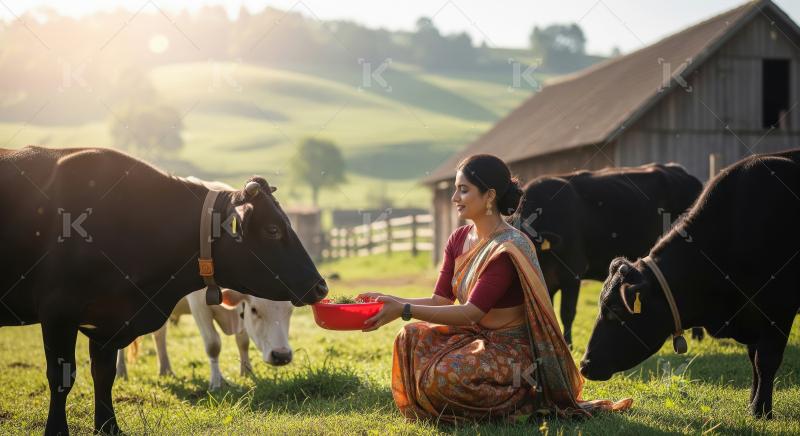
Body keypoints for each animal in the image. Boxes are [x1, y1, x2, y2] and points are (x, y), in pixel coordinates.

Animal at [116, 289, 293, 390]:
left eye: (290, 310)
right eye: (254, 309)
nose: (282, 355)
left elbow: (243, 341)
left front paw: (247, 372)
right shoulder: (198, 303)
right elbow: (213, 344)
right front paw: (216, 382)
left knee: (159, 334)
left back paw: (166, 370)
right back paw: (121, 372)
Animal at [580, 149, 800, 419]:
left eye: (615, 311)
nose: (584, 365)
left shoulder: (778, 308)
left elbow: (765, 360)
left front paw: (761, 410)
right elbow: (753, 358)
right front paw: (752, 403)